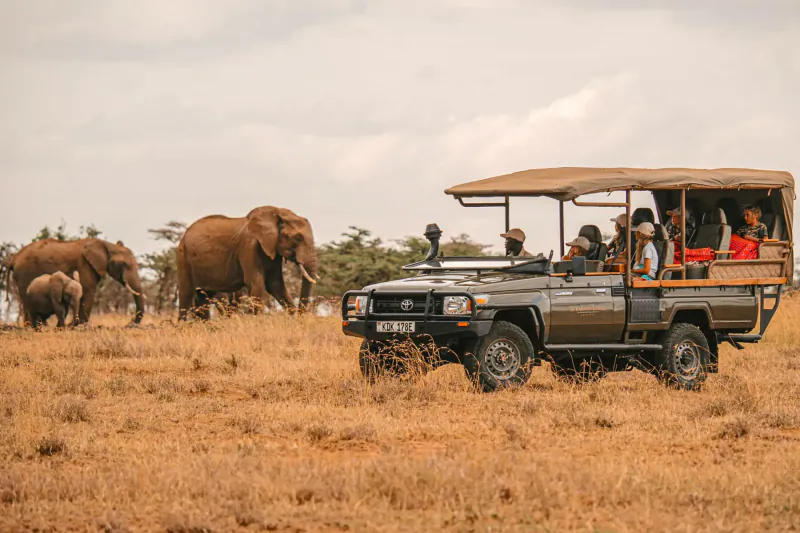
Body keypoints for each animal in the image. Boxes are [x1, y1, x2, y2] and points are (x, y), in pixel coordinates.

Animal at [10, 238, 145, 325]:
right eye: (123, 264)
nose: (130, 323)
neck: (106, 244)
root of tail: (14, 258)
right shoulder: (84, 265)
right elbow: (89, 291)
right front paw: (80, 325)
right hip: (24, 274)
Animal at [177, 206, 318, 320]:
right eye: (297, 238)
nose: (301, 317)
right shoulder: (249, 247)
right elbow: (256, 283)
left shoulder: (271, 250)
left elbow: (275, 285)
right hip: (183, 256)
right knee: (186, 295)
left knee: (203, 297)